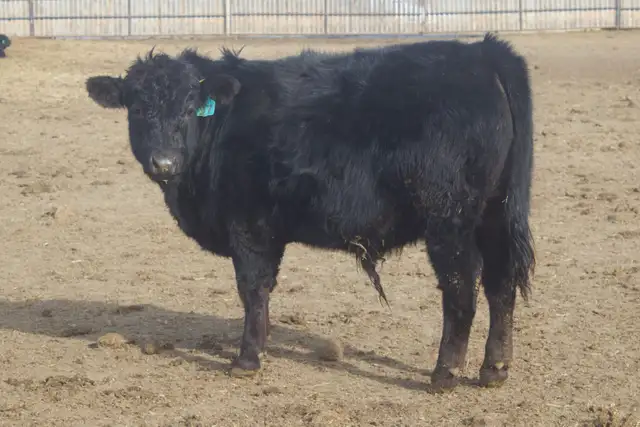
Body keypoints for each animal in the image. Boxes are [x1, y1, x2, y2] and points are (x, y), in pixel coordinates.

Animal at [85, 33, 535, 391]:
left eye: (189, 107)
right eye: (137, 109)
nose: (164, 163)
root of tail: (481, 51)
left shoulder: (249, 225)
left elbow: (252, 288)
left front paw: (247, 359)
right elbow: (262, 289)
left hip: (449, 219)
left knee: (461, 288)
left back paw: (444, 374)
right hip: (495, 213)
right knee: (500, 284)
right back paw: (495, 368)